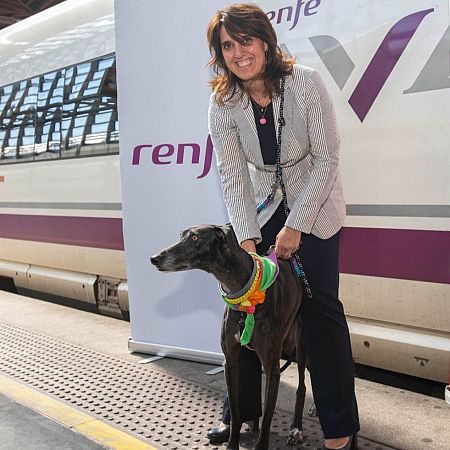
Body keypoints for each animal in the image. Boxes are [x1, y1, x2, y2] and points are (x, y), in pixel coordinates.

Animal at [149, 225, 308, 450]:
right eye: (181, 235)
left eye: (195, 238)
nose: (154, 258)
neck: (242, 290)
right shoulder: (231, 362)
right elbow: (235, 410)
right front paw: (232, 442)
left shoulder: (272, 367)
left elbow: (268, 417)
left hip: (299, 345)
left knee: (302, 386)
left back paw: (296, 429)